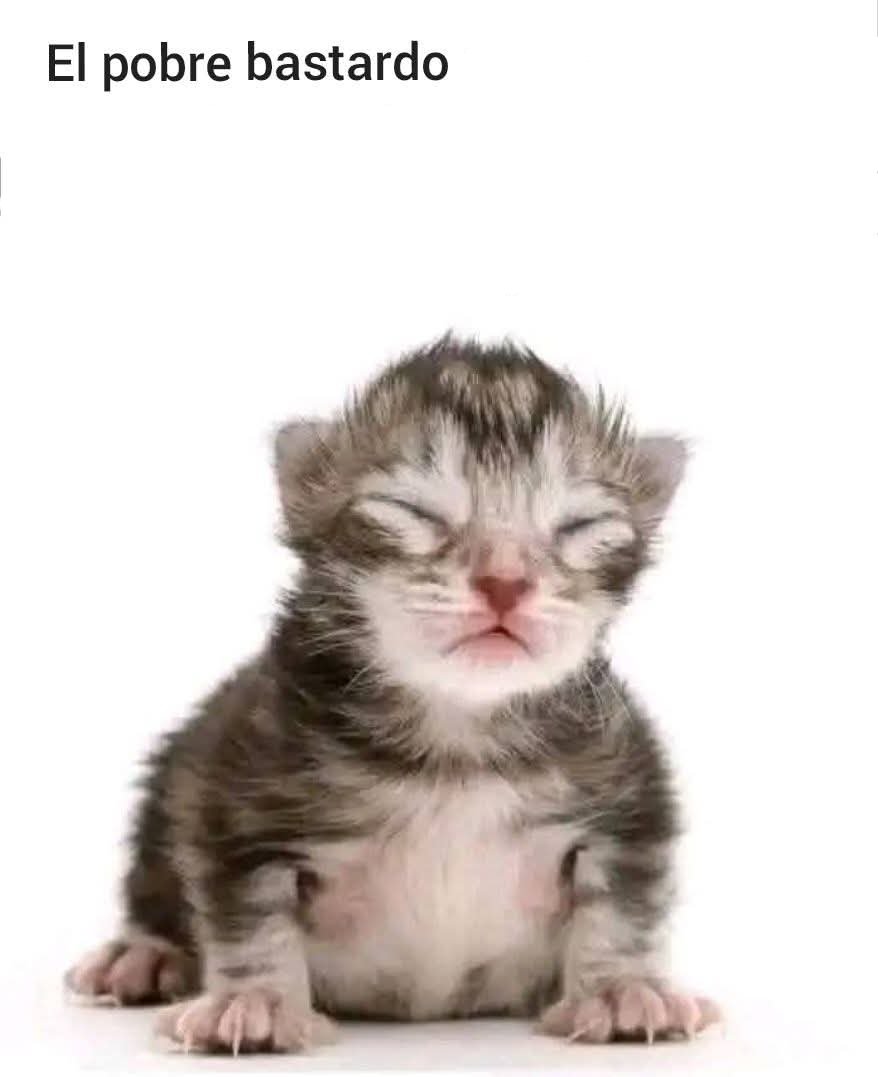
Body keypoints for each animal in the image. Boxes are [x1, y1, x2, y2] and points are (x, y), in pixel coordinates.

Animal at [66, 336, 719, 1053]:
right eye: (413, 511)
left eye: (581, 524)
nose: (505, 580)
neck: (459, 739)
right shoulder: (242, 794)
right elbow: (250, 910)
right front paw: (258, 999)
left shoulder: (626, 794)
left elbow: (625, 901)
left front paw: (621, 989)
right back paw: (142, 954)